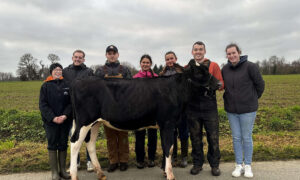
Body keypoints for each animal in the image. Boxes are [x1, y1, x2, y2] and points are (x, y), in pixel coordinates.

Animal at [70, 62, 220, 180]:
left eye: (207, 70)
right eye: (199, 73)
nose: (219, 83)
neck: (175, 90)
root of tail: (78, 82)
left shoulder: (169, 124)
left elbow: (168, 147)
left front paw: (165, 172)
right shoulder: (168, 123)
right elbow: (169, 147)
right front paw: (170, 175)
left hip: (96, 122)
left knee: (90, 144)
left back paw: (100, 174)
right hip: (84, 121)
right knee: (75, 143)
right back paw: (74, 175)